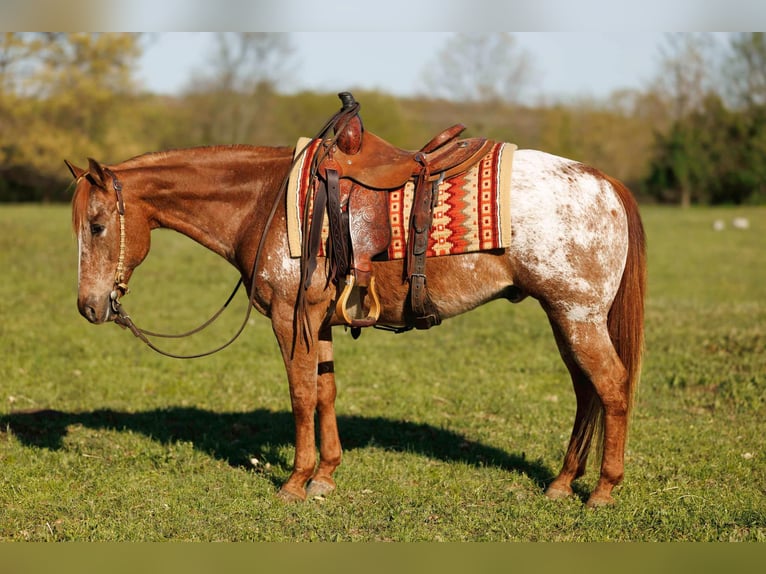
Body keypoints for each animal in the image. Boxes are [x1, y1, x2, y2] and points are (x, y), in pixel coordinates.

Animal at [66, 138, 646, 508]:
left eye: (96, 226)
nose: (89, 307)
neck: (266, 203)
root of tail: (605, 182)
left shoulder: (289, 317)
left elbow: (301, 394)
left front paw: (296, 481)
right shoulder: (317, 320)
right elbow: (326, 391)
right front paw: (325, 476)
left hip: (578, 315)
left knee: (612, 388)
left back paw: (602, 491)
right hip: (565, 317)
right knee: (586, 393)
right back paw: (561, 483)